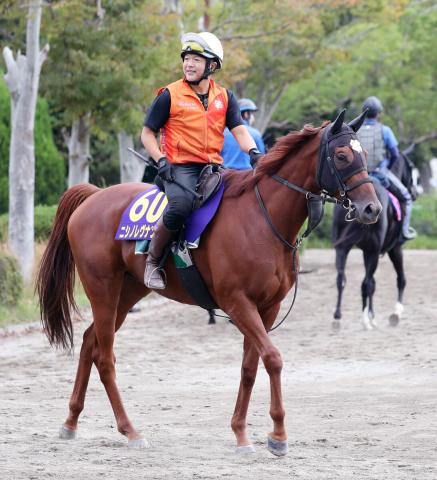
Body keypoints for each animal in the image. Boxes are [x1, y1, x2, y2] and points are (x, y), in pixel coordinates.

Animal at [35, 110, 380, 456]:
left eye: (364, 153)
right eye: (341, 155)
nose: (372, 208)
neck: (262, 218)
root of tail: (93, 196)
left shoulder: (267, 307)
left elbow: (250, 367)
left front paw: (241, 432)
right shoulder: (237, 302)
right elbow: (272, 358)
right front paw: (278, 434)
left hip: (127, 293)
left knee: (89, 342)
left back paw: (71, 421)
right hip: (103, 289)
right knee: (105, 357)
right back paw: (130, 430)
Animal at [332, 150, 414, 330]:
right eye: (411, 168)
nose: (414, 192)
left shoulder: (364, 250)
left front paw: (373, 316)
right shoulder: (393, 249)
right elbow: (400, 280)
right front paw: (395, 313)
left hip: (344, 249)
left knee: (342, 279)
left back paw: (337, 318)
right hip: (375, 251)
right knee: (367, 283)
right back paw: (365, 321)